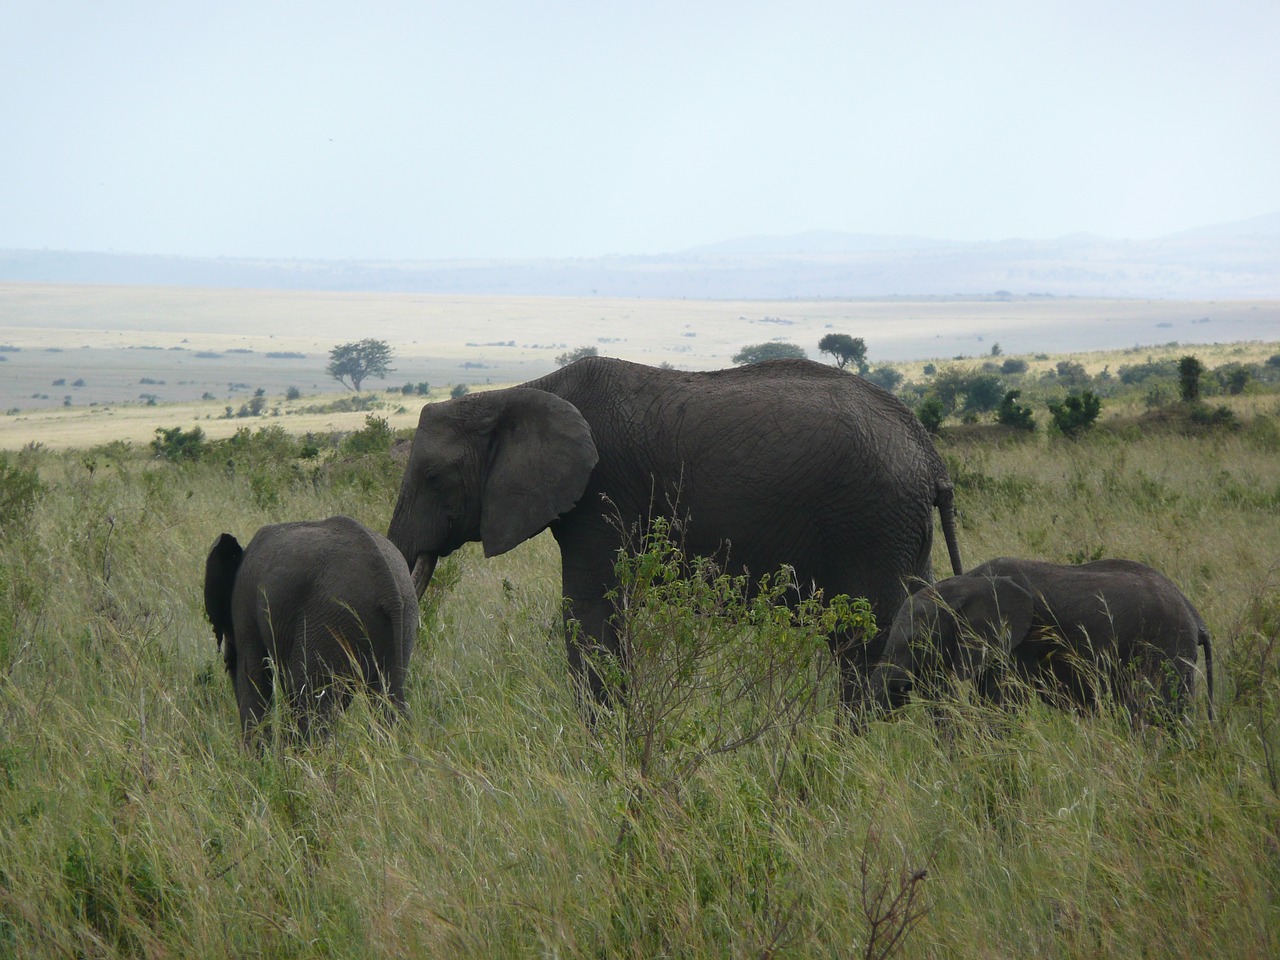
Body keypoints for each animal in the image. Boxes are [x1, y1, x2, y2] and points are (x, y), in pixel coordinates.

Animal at [202, 519, 417, 737]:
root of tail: (389, 589)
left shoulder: (243, 603)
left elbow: (254, 675)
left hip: (331, 620)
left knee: (308, 699)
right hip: (405, 617)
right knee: (385, 698)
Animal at [389, 358, 962, 711]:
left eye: (434, 477)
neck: (519, 393)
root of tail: (929, 453)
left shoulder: (603, 494)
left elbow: (591, 613)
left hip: (872, 523)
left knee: (867, 649)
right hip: (900, 531)